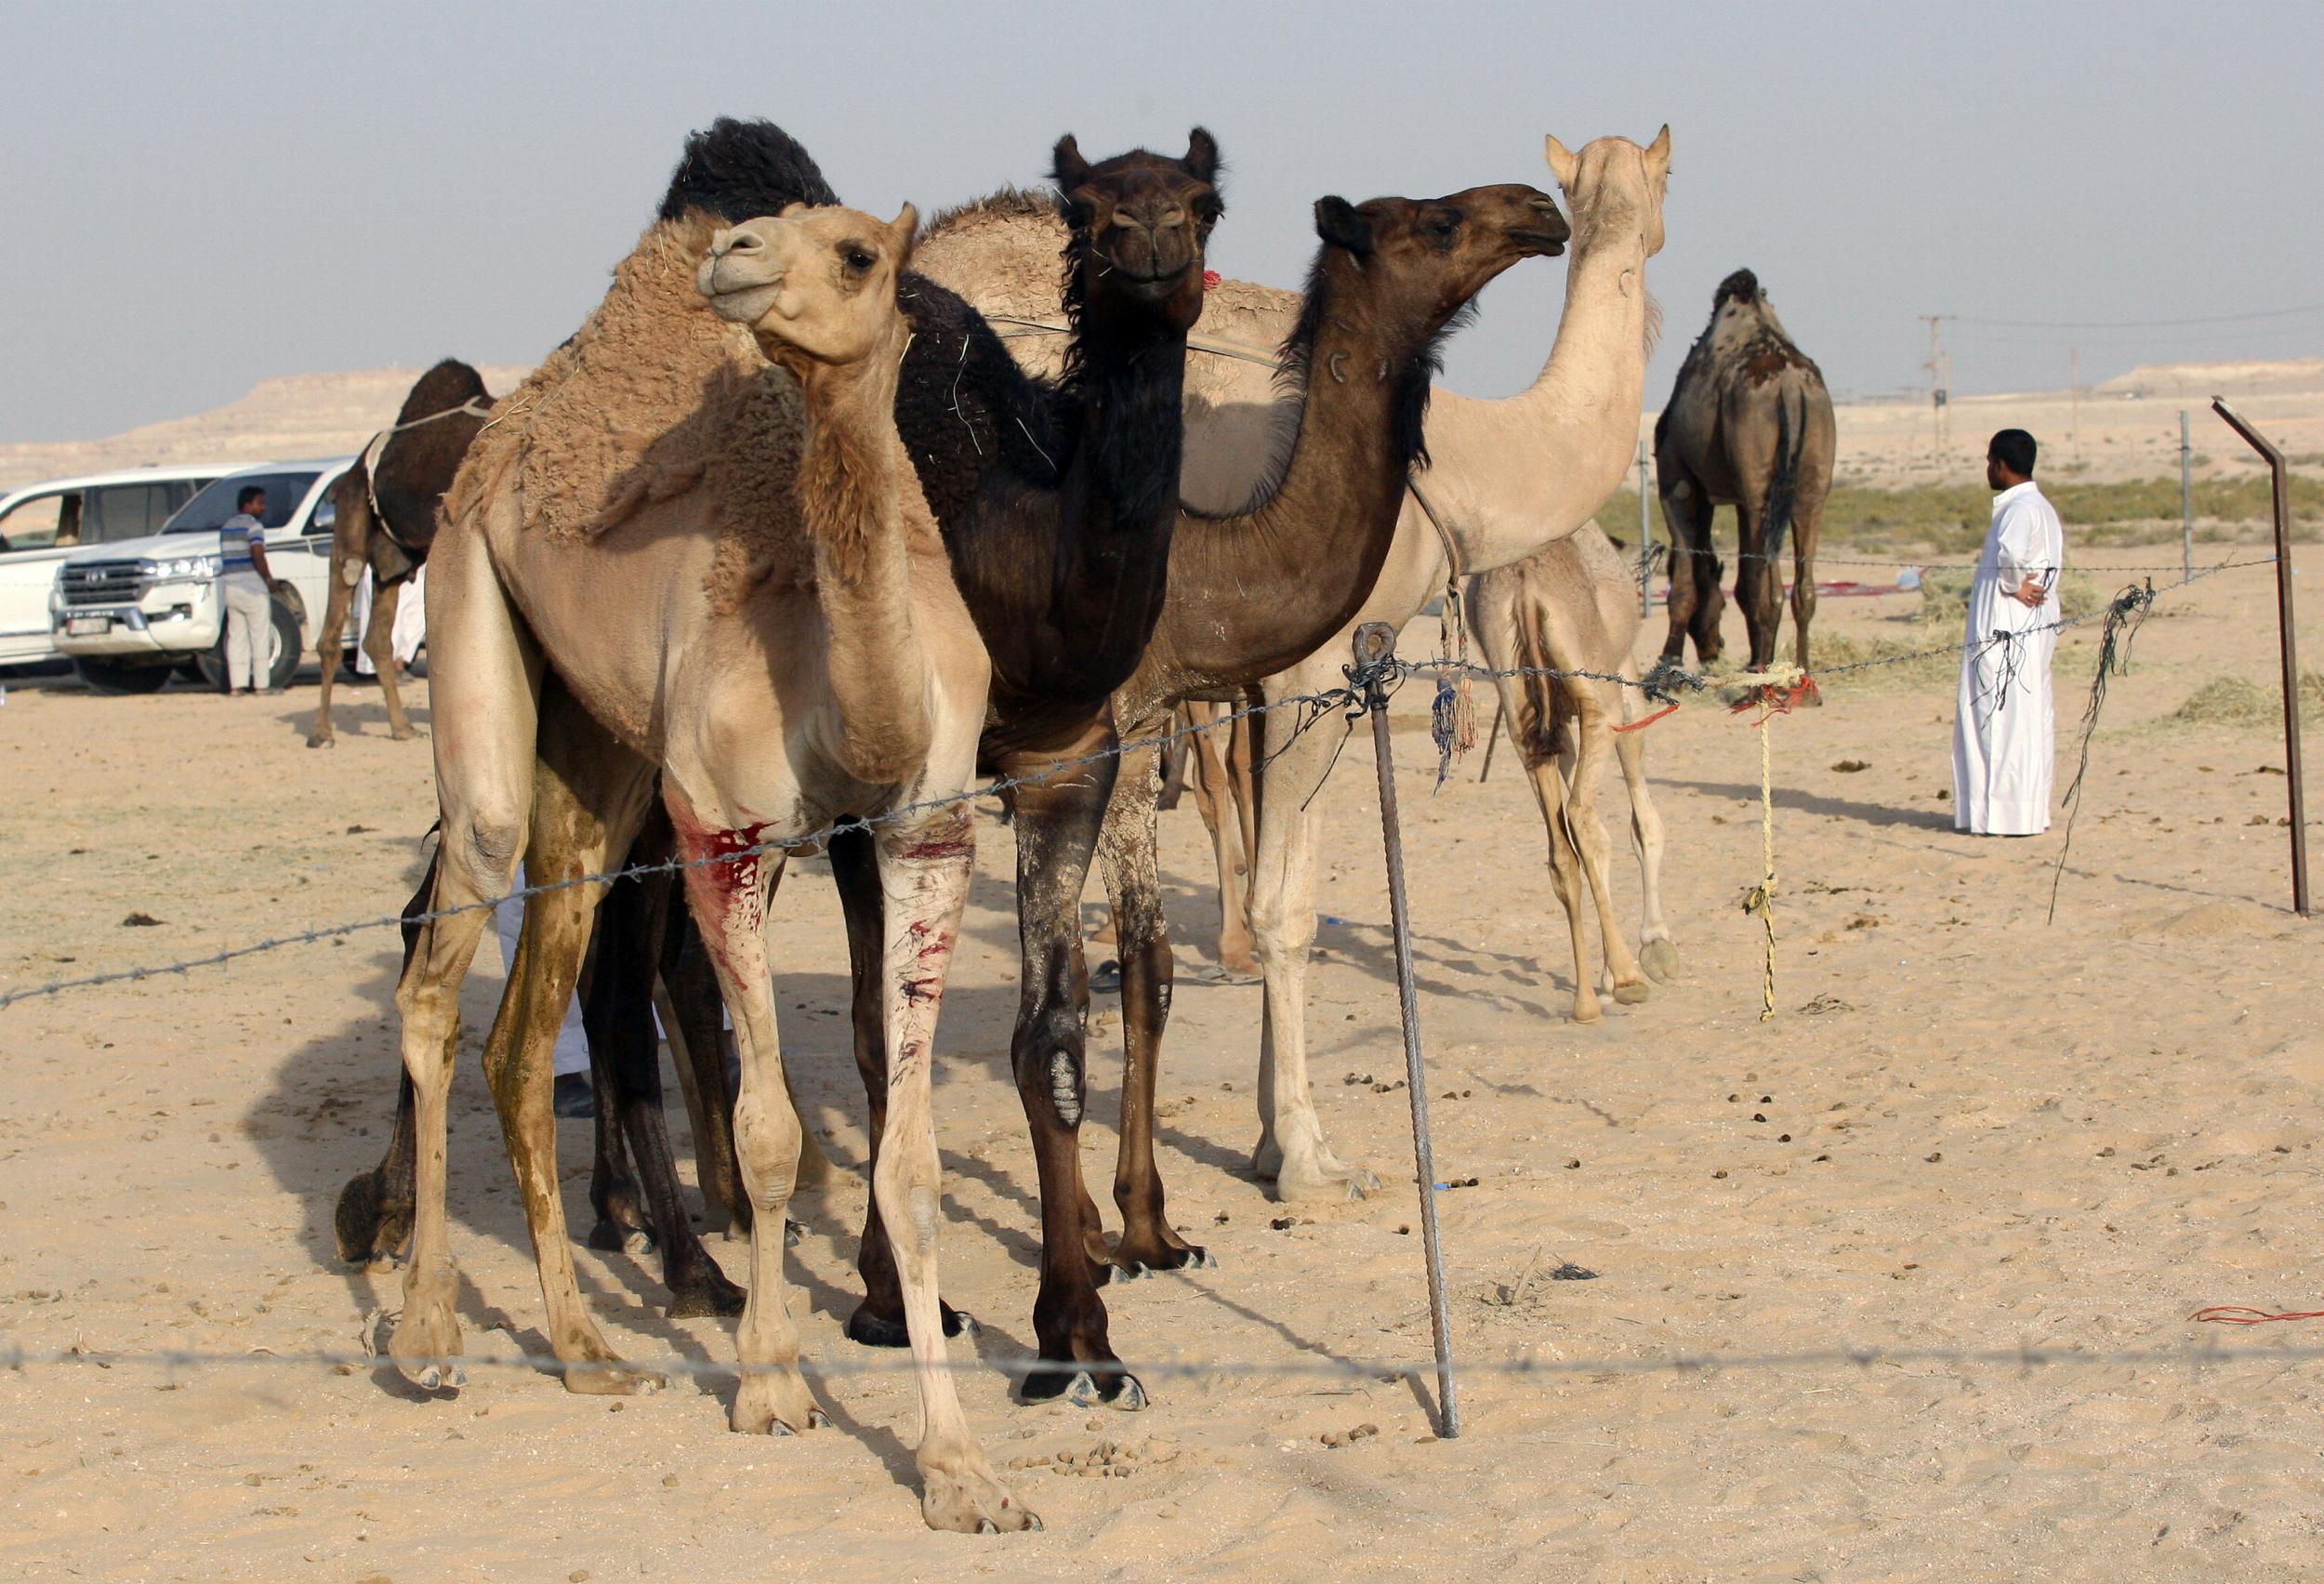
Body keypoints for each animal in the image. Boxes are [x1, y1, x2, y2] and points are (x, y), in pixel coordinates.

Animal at [304, 357, 490, 747]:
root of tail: (356, 465)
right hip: (352, 515)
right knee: (336, 616)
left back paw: (401, 726)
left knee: (376, 638)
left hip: (394, 560)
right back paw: (321, 732)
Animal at [381, 173, 1027, 1533]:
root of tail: (504, 430)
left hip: (599, 758)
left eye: (855, 251)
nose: (735, 254)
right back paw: (427, 1335)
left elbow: (912, 1163)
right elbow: (769, 1134)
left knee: (524, 1033)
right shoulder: (722, 829)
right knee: (439, 965)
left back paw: (585, 1350)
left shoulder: (929, 831)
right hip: (469, 599)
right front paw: (771, 1382)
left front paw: (961, 1472)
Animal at [1469, 524, 1673, 1022]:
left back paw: (1585, 1001)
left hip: (1518, 709)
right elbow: (1644, 823)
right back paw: (1628, 979)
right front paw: (1656, 945)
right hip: (1600, 695)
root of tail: (1523, 585)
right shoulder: (1624, 677)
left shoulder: (1554, 722)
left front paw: (1606, 974)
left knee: (1561, 849)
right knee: (1585, 820)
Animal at [1655, 267, 1831, 673]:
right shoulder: (1736, 495)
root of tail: (1791, 387)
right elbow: (1743, 580)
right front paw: (1752, 657)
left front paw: (1668, 661)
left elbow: (1685, 579)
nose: (1713, 647)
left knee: (1769, 586)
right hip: (1807, 480)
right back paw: (1799, 673)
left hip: (1759, 479)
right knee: (1801, 585)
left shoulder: (1678, 481)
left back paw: (1765, 675)